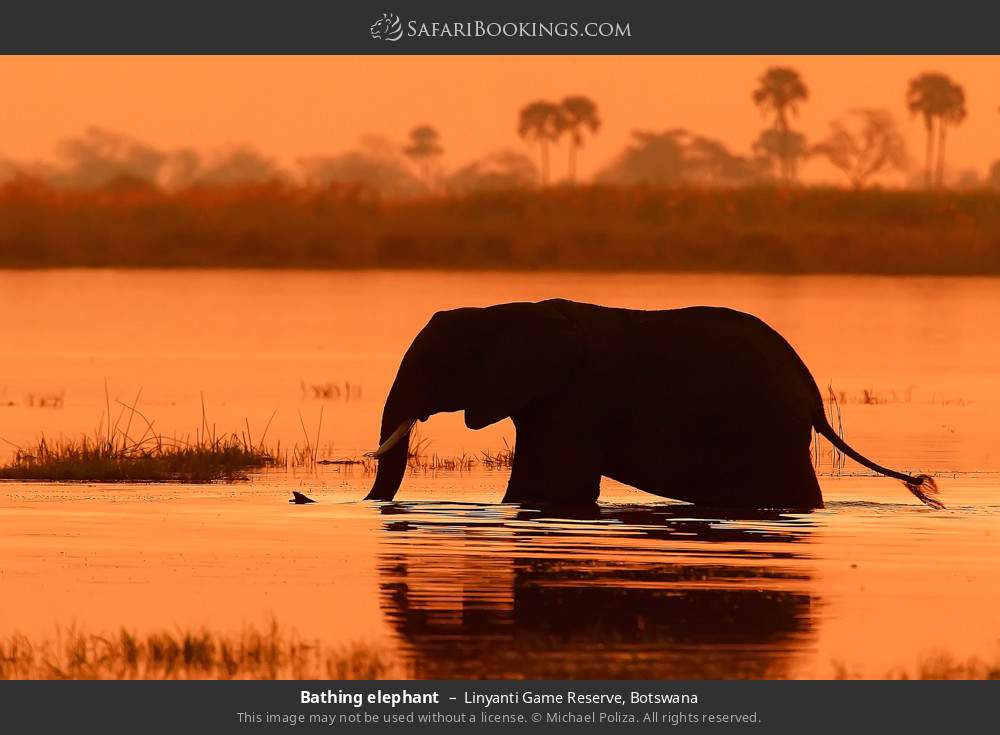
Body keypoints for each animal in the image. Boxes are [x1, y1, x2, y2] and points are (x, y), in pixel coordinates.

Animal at [365, 299, 941, 510]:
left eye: (433, 364)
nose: (373, 505)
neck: (503, 309)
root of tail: (813, 394)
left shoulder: (575, 398)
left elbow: (550, 487)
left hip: (768, 432)